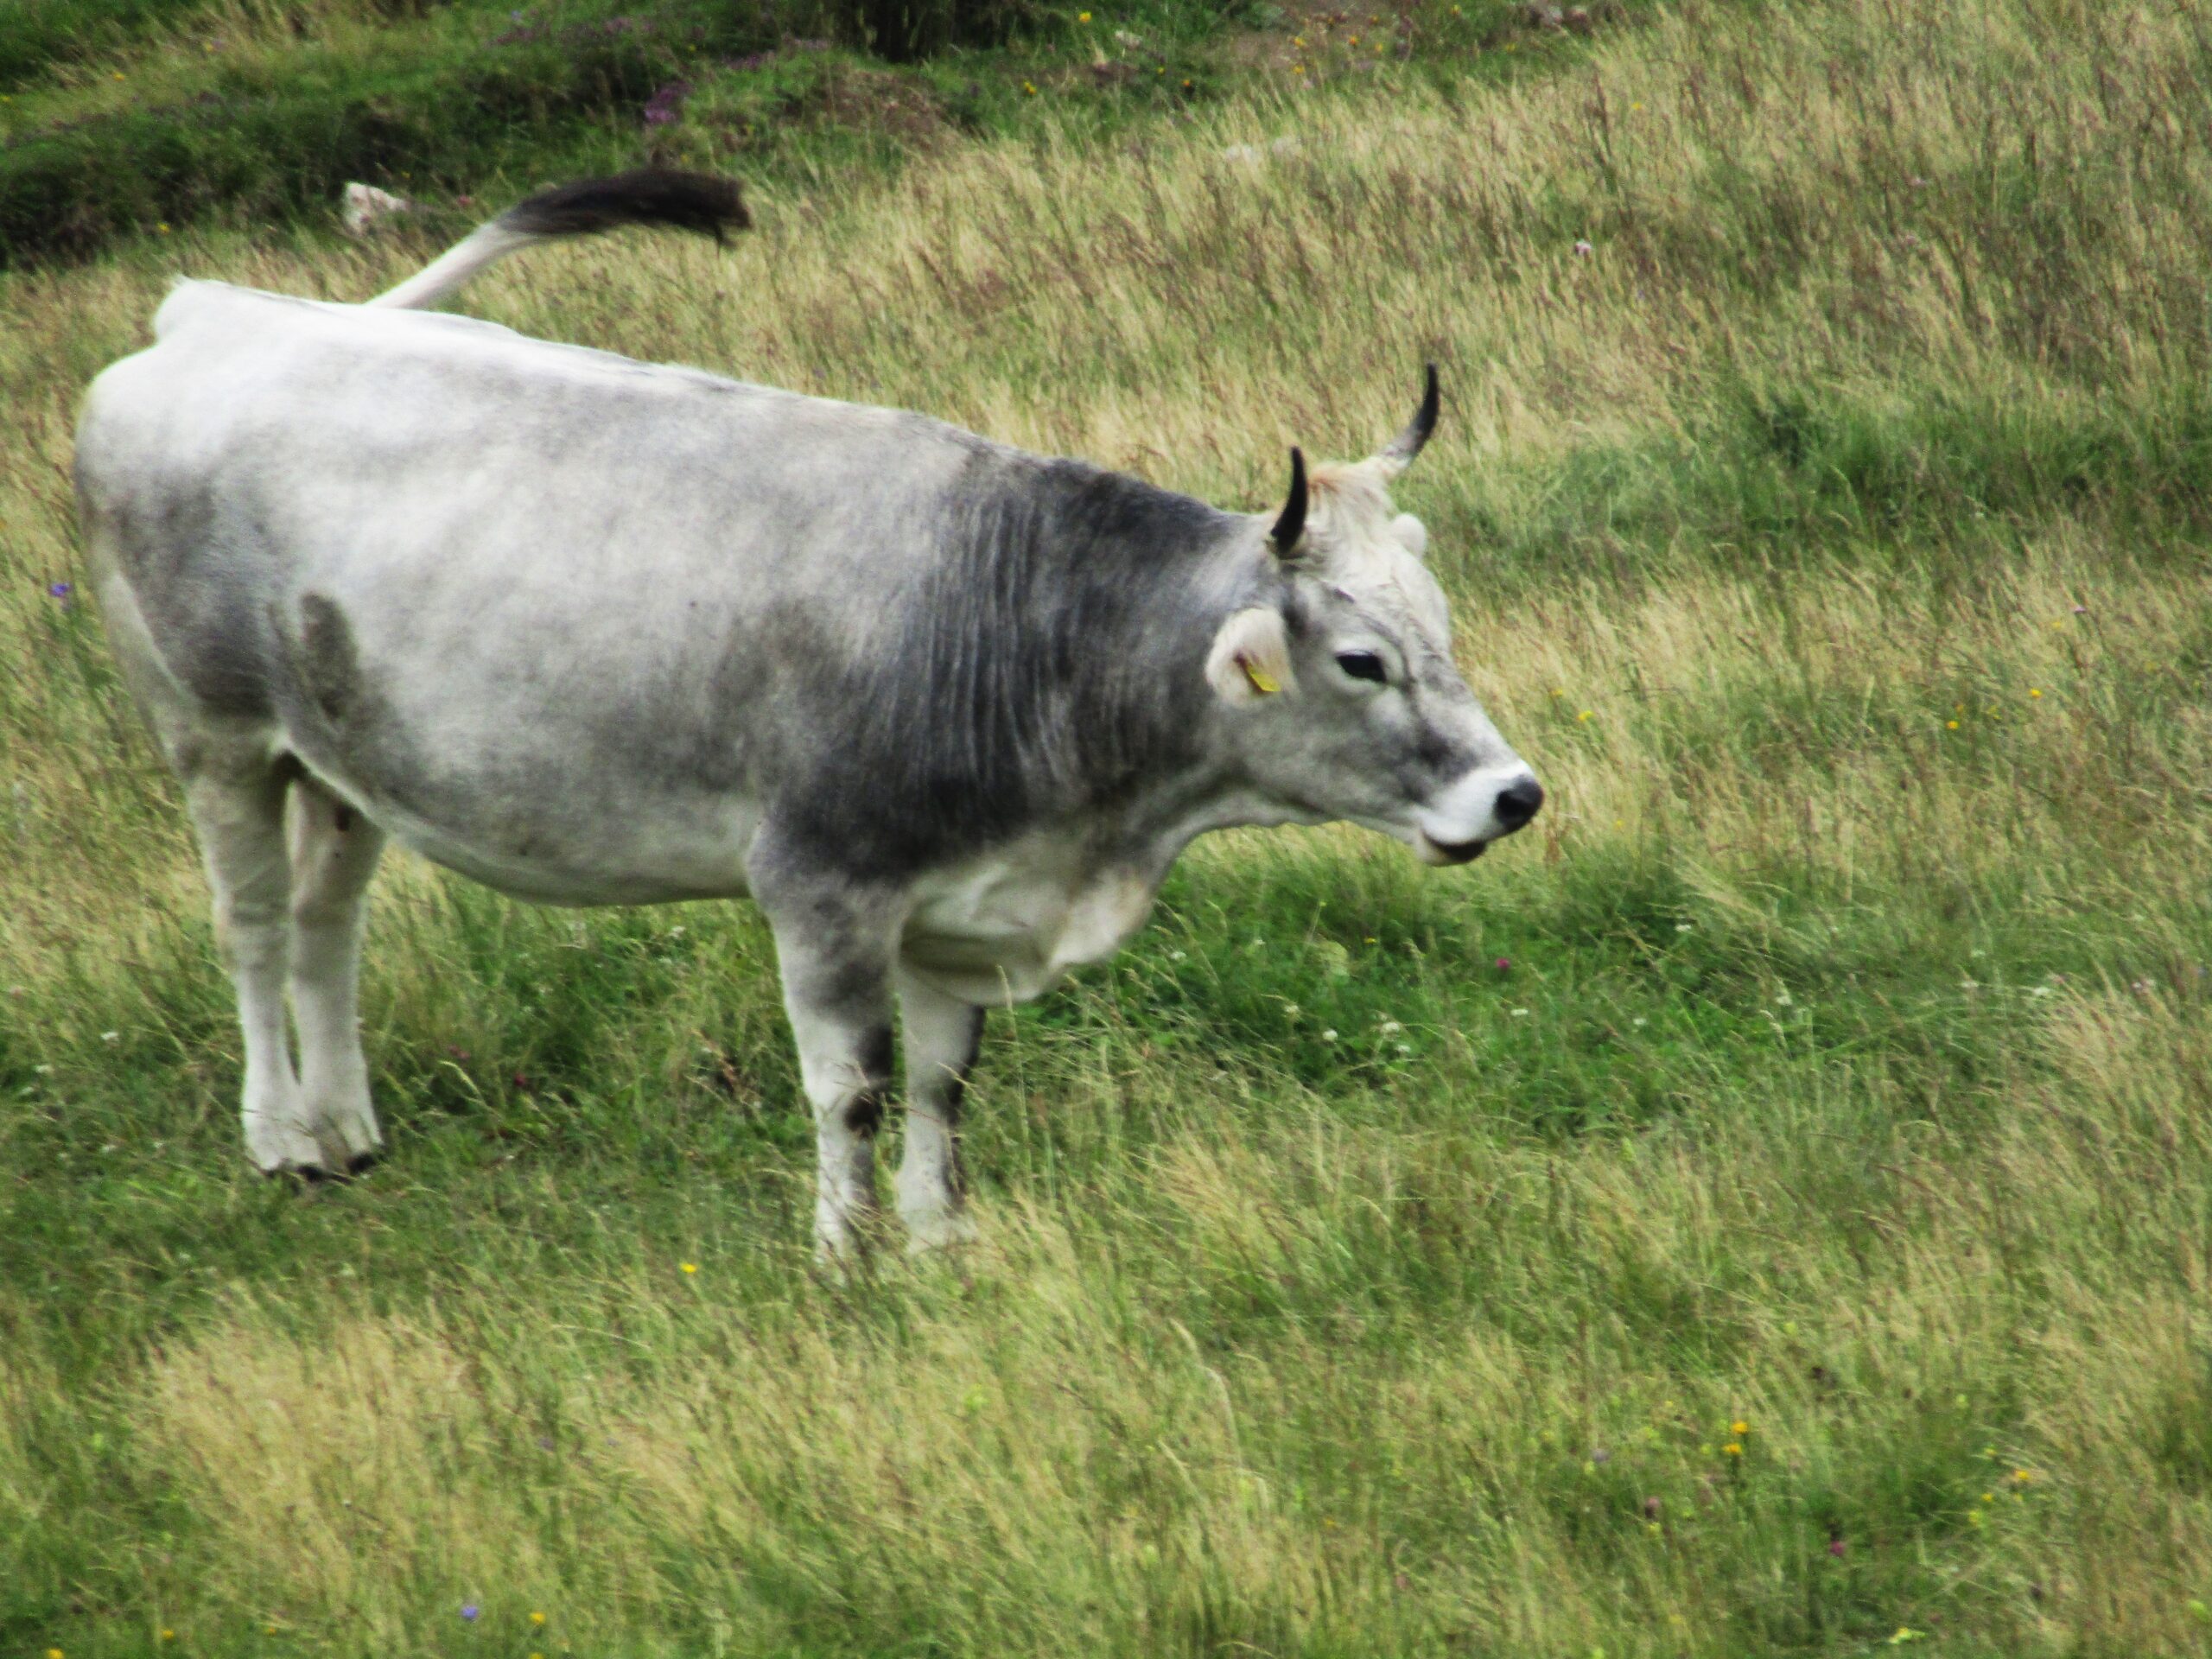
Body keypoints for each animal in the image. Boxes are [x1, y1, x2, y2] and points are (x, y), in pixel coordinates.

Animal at [74, 171, 1543, 1256]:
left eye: (1440, 620)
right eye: (1360, 661)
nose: (1514, 793)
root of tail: (222, 312)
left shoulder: (960, 905)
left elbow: (945, 1085)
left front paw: (941, 1241)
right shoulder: (822, 888)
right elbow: (855, 1090)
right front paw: (844, 1257)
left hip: (344, 760)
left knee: (328, 926)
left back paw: (349, 1128)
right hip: (212, 735)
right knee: (254, 927)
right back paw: (282, 1140)